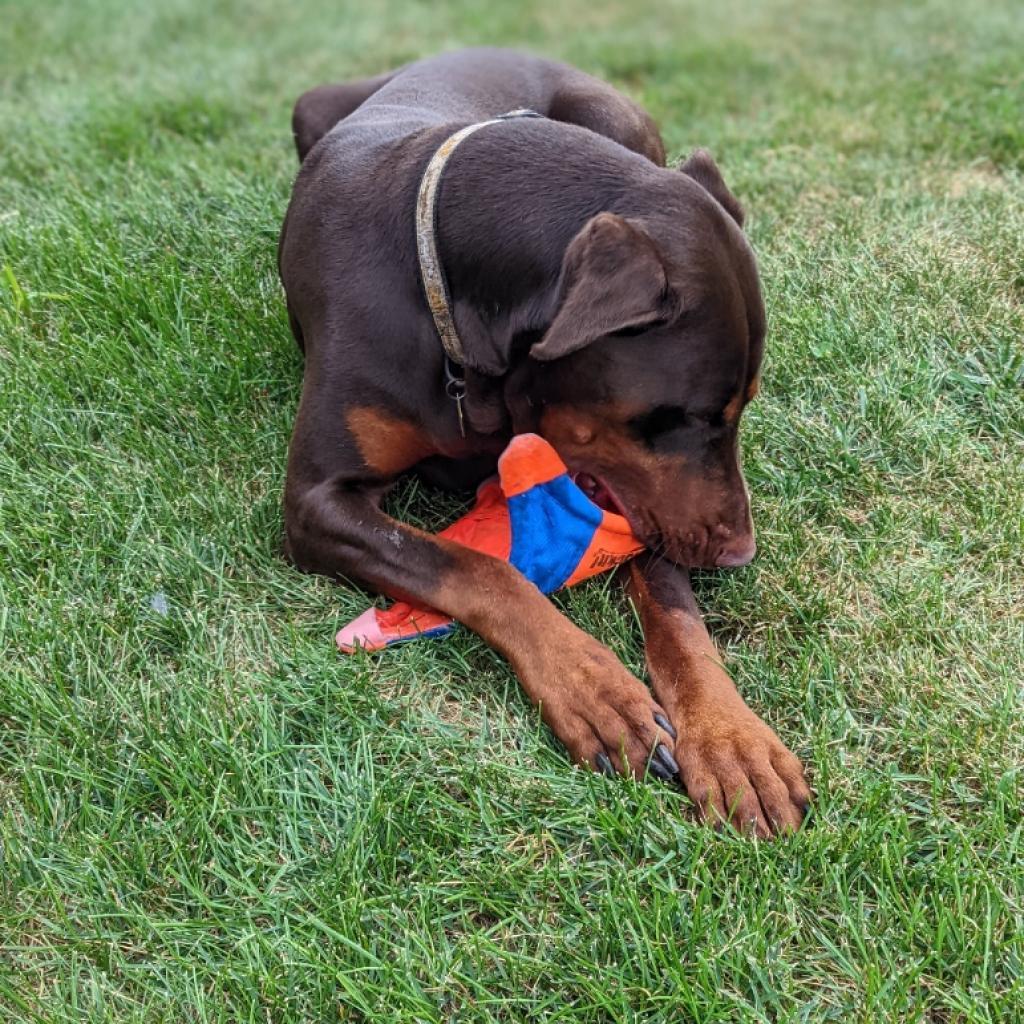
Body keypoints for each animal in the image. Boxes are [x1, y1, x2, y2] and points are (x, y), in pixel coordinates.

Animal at [278, 44, 806, 835]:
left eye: (742, 408)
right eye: (686, 417)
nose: (739, 555)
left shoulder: (641, 502)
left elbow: (677, 614)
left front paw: (733, 742)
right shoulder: (315, 502)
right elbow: (476, 568)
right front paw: (597, 692)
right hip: (310, 105)